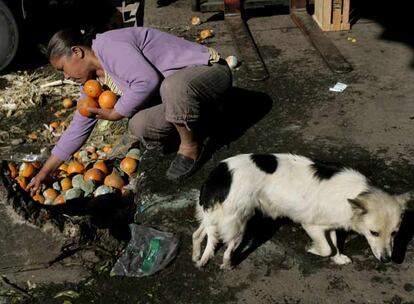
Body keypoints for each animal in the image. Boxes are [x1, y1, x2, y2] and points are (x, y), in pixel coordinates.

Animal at [192, 154, 412, 268]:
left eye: (395, 233)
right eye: (374, 233)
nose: (387, 260)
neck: (357, 194)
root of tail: (218, 174)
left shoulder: (329, 224)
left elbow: (334, 244)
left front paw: (338, 258)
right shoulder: (312, 225)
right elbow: (327, 248)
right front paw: (312, 249)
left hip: (215, 216)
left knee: (198, 233)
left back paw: (197, 256)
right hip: (236, 222)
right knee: (227, 248)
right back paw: (227, 263)